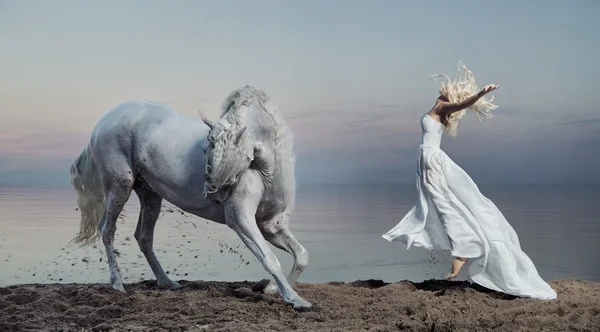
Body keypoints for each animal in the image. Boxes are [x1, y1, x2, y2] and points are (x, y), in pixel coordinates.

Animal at [69, 85, 312, 312]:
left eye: (232, 151)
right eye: (206, 147)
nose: (212, 191)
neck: (264, 171)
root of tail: (104, 120)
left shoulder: (270, 225)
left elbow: (301, 256)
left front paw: (273, 290)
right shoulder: (240, 220)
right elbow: (269, 259)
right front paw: (298, 301)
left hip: (149, 194)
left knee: (143, 236)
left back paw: (167, 282)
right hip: (119, 186)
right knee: (107, 229)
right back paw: (118, 284)